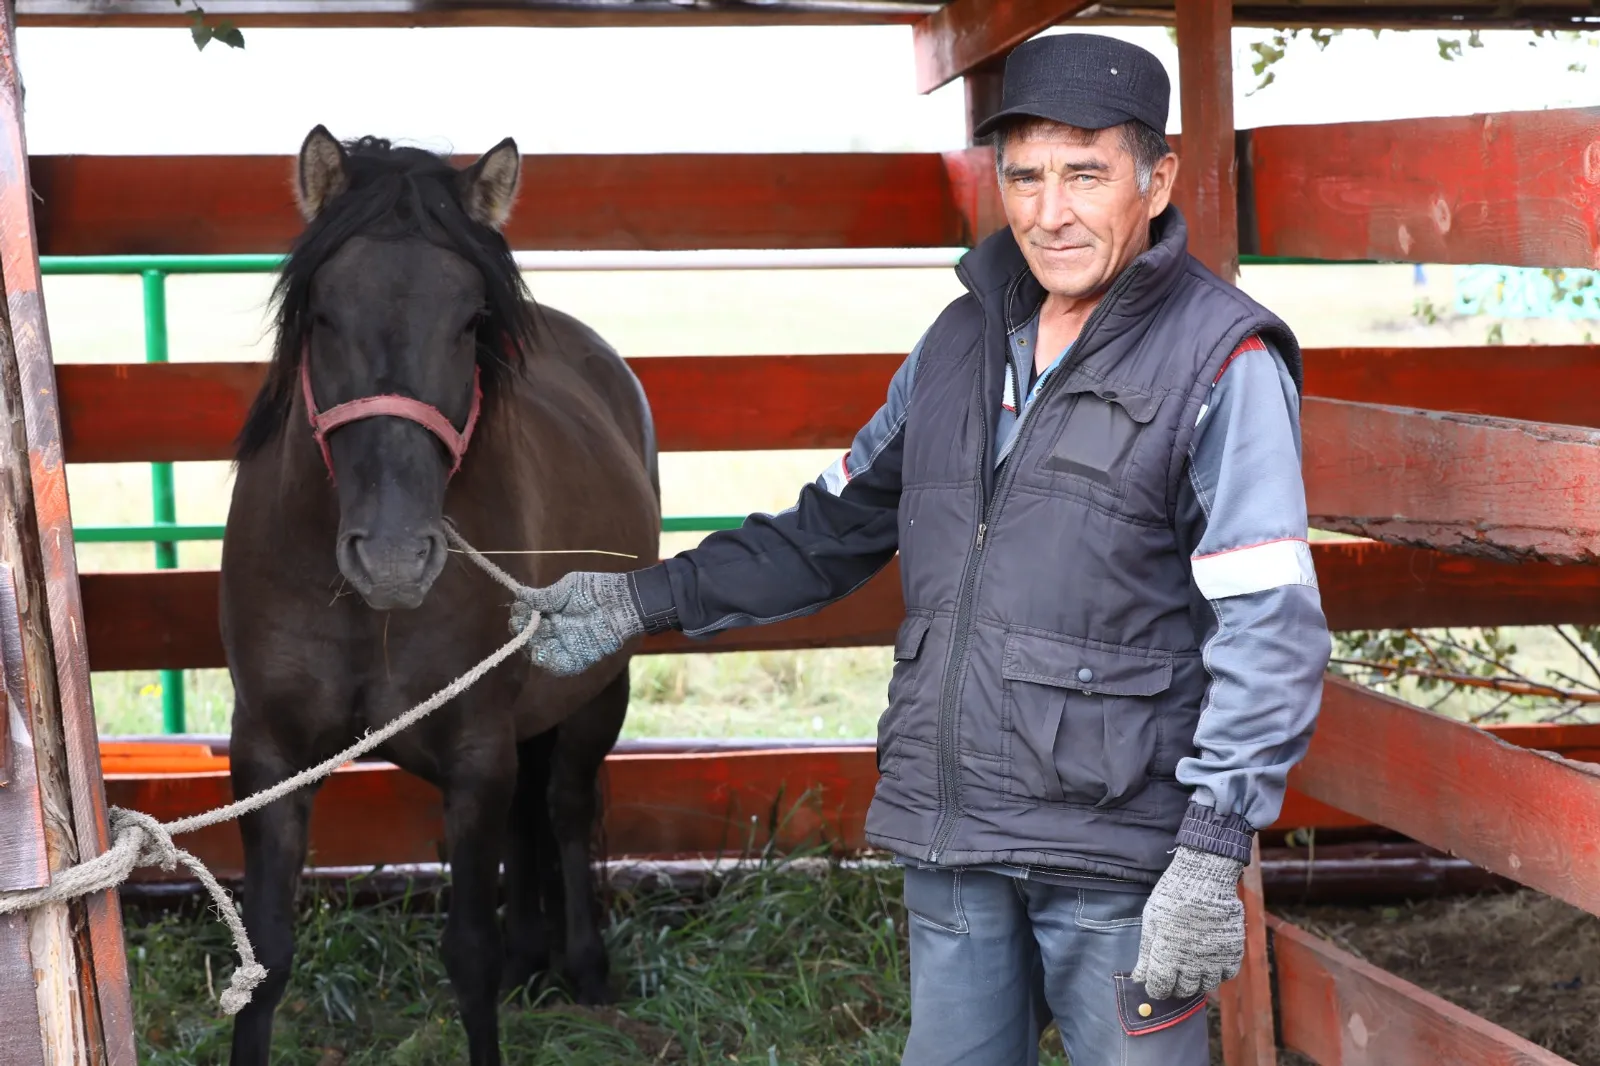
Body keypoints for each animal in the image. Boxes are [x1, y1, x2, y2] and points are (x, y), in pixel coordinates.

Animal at [218, 126, 661, 1066]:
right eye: (322, 314)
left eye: (468, 322)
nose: (391, 557)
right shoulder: (270, 755)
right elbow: (266, 959)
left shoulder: (475, 752)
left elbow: (469, 955)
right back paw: (536, 956)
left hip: (596, 694)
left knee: (564, 807)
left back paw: (583, 967)